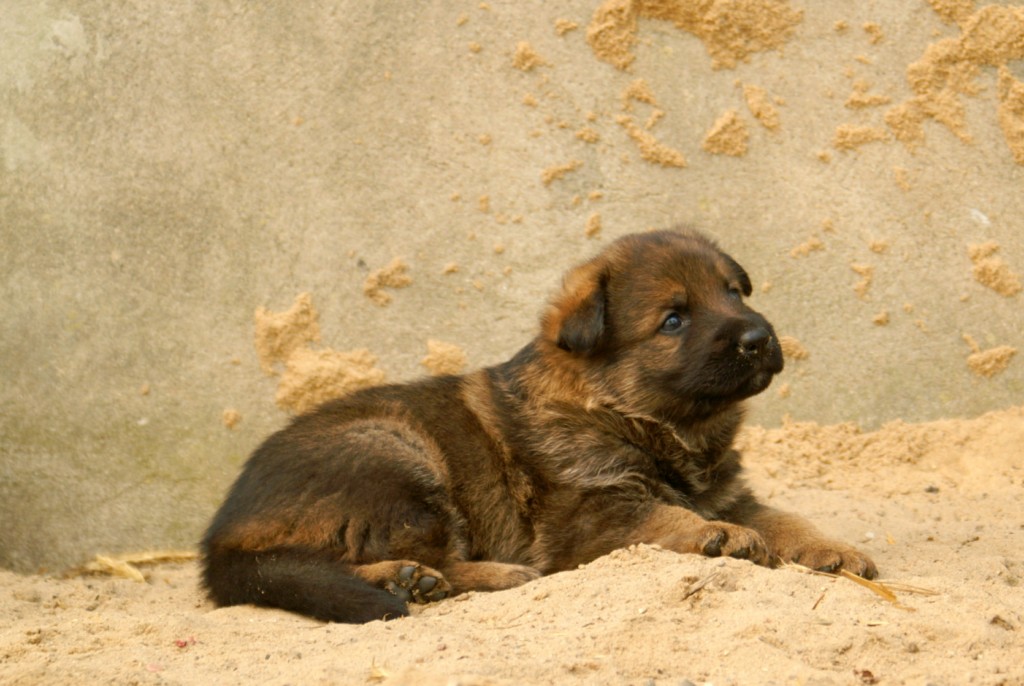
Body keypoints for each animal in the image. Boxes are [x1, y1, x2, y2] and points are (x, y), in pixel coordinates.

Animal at [201, 229, 880, 622]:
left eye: (735, 292)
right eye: (673, 320)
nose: (760, 337)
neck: (634, 417)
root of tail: (220, 539)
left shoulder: (731, 492)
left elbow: (785, 518)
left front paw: (836, 549)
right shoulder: (592, 514)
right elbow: (661, 518)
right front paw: (719, 537)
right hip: (394, 456)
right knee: (360, 557)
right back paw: (449, 577)